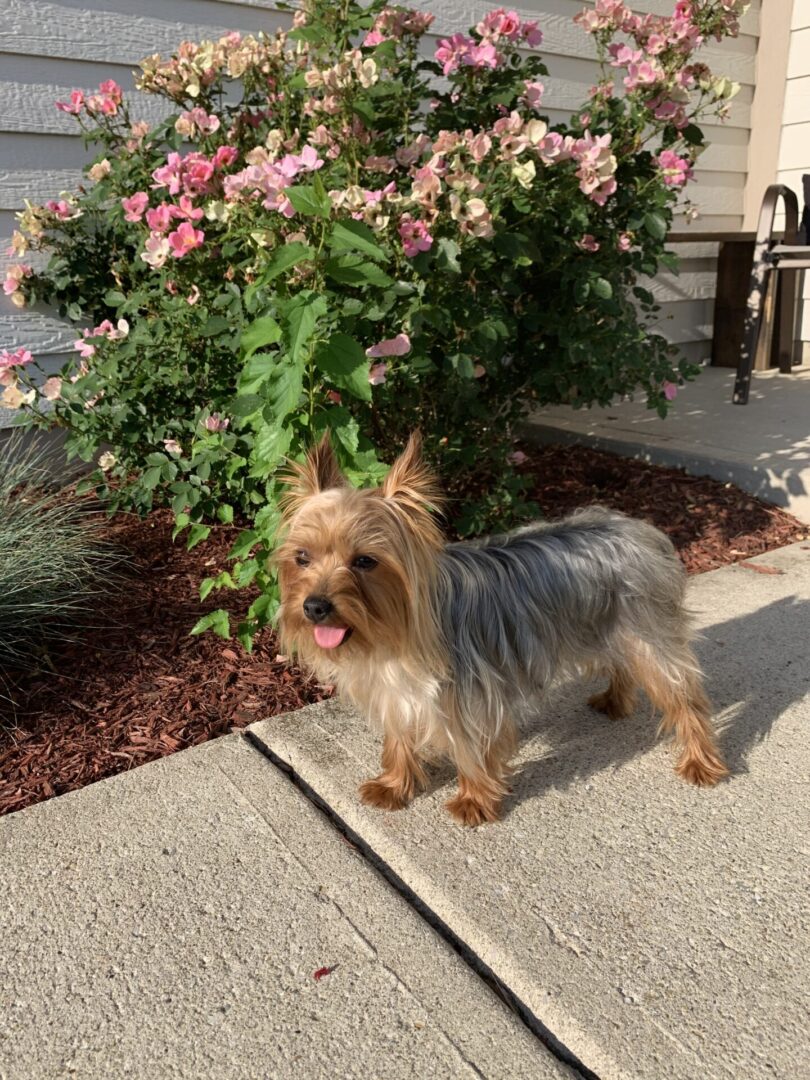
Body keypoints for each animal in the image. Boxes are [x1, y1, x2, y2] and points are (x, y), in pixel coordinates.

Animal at [278, 432, 730, 825]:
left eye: (365, 561)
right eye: (302, 557)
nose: (314, 606)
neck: (397, 632)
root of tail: (638, 526)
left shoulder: (475, 696)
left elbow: (473, 750)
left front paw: (473, 801)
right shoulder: (395, 691)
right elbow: (399, 739)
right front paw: (393, 785)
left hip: (648, 630)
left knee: (684, 695)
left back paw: (700, 761)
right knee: (622, 663)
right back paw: (615, 701)